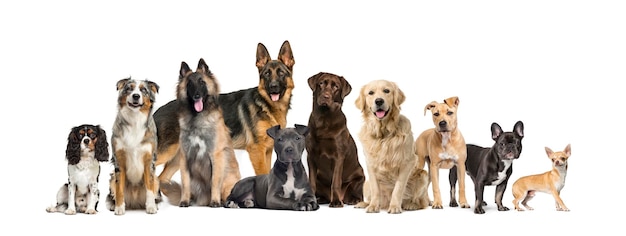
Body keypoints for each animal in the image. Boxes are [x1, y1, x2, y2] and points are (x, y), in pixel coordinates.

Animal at [105, 78, 160, 216]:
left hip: (157, 179)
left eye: (143, 90)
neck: (135, 120)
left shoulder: (149, 161)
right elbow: (119, 188)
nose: (136, 96)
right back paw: (114, 205)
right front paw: (119, 208)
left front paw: (151, 207)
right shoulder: (119, 161)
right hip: (112, 178)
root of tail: (135, 203)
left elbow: (150, 188)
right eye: (129, 88)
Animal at [157, 58, 240, 206]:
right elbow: (185, 183)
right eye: (189, 84)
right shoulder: (185, 157)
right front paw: (184, 201)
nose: (197, 96)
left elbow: (215, 182)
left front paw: (215, 202)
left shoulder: (215, 156)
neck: (196, 120)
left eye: (202, 82)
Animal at [304, 71, 364, 206]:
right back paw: (321, 199)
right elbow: (311, 182)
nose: (326, 96)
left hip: (360, 177)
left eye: (336, 87)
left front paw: (336, 201)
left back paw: (352, 199)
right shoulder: (311, 156)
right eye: (321, 83)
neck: (324, 119)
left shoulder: (339, 156)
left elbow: (335, 181)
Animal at [352, 79, 428, 214]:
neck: (383, 134)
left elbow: (398, 188)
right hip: (366, 184)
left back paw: (410, 205)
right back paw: (364, 204)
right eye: (370, 93)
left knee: (421, 202)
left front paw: (395, 207)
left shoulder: (408, 162)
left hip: (424, 176)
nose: (379, 101)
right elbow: (375, 189)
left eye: (386, 91)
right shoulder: (370, 164)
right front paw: (373, 206)